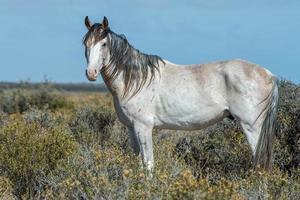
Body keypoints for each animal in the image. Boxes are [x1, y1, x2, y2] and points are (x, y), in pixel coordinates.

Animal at [82, 16, 278, 173]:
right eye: (86, 43)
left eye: (104, 44)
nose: (91, 73)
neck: (136, 81)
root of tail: (269, 74)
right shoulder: (131, 128)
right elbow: (139, 163)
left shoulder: (143, 127)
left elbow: (148, 164)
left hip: (252, 127)